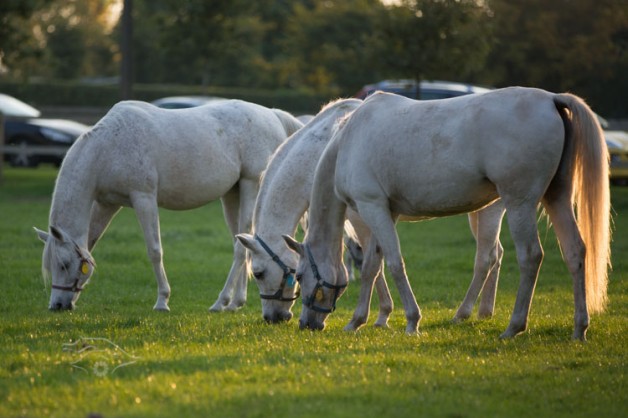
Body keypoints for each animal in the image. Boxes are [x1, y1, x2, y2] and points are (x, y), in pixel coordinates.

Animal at [34, 99, 304, 312]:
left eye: (64, 264)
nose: (57, 305)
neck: (108, 147)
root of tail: (273, 115)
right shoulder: (106, 204)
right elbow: (89, 244)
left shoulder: (143, 198)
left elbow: (155, 250)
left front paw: (162, 300)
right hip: (232, 194)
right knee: (245, 244)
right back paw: (236, 302)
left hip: (251, 185)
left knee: (240, 249)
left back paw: (221, 302)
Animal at [236, 97, 506, 326]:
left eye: (258, 273)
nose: (273, 318)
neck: (326, 147)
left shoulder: (362, 215)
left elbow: (372, 263)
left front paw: (382, 315)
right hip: (477, 211)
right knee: (497, 253)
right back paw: (485, 311)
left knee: (486, 257)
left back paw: (464, 313)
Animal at [284, 87, 608, 340]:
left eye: (298, 275)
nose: (306, 325)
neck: (348, 141)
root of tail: (552, 99)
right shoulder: (381, 212)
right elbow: (371, 267)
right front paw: (357, 321)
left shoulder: (372, 207)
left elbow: (394, 264)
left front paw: (412, 321)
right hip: (557, 198)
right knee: (575, 251)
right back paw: (579, 328)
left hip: (520, 204)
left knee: (530, 256)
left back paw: (513, 327)